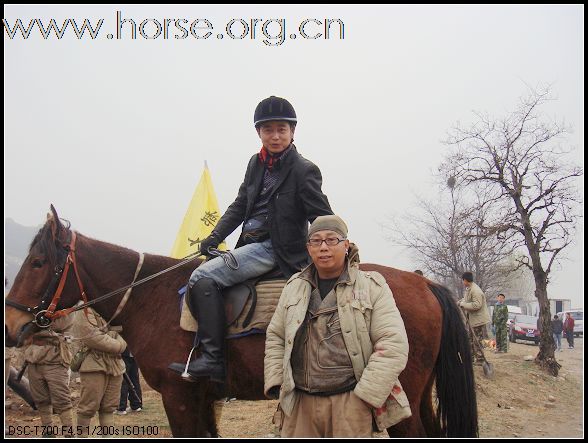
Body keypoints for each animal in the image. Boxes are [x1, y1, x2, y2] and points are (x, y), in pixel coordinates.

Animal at [4, 208, 478, 438]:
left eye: (38, 262)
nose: (11, 326)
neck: (152, 297)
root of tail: (426, 284)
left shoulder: (179, 397)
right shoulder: (202, 400)